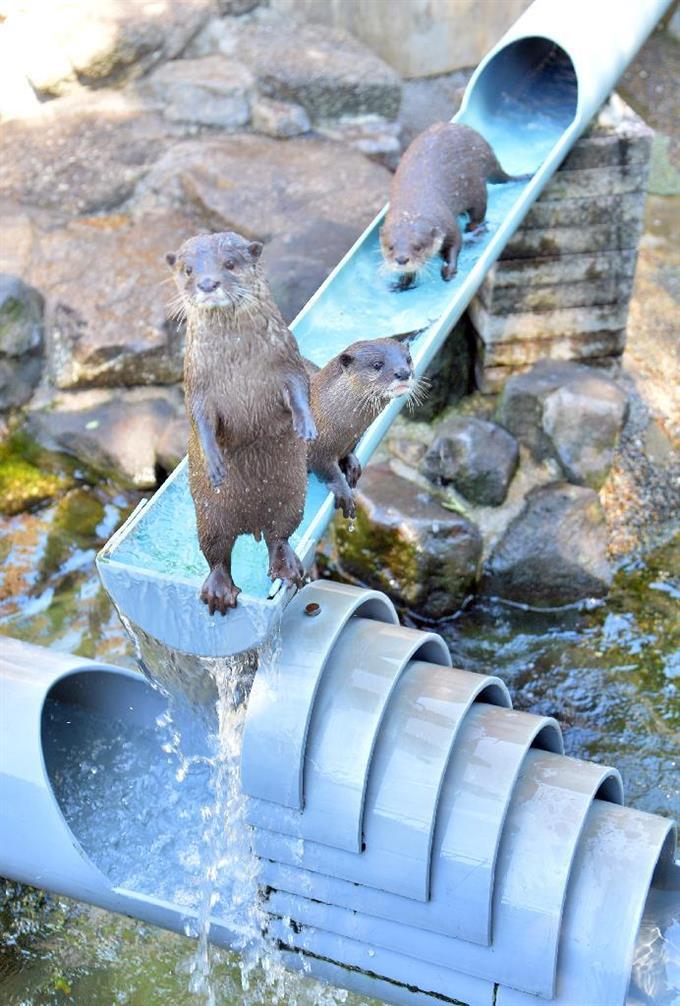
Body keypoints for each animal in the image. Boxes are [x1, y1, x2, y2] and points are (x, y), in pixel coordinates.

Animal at [305, 338, 422, 519]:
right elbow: (327, 470)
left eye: (408, 359)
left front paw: (352, 464)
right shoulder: (317, 449)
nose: (403, 372)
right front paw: (344, 492)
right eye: (377, 364)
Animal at [380, 120, 527, 291]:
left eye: (418, 247)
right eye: (390, 247)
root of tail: (488, 151)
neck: (413, 204)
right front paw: (404, 282)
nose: (402, 259)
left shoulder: (448, 224)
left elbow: (455, 245)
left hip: (477, 188)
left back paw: (474, 230)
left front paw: (449, 271)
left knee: (479, 214)